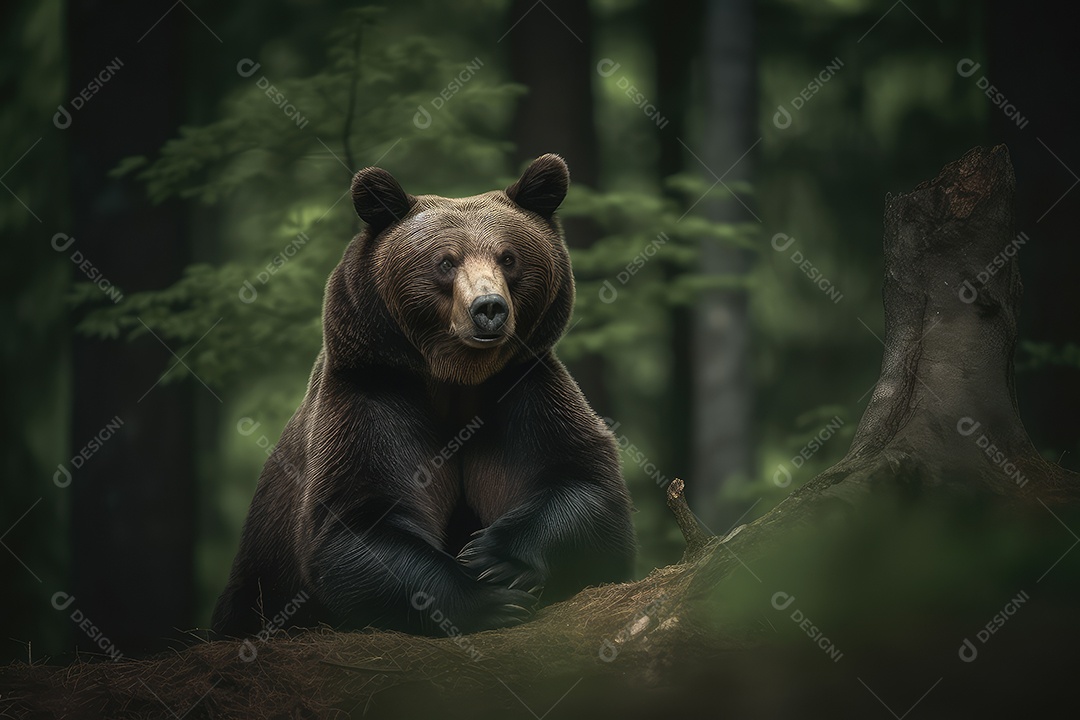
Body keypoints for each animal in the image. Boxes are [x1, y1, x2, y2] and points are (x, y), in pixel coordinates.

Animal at [212, 154, 636, 637]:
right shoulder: (374, 399)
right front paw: (487, 597)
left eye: (508, 257)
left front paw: (494, 557)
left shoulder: (523, 394)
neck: (457, 381)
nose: (489, 308)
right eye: (445, 262)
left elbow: (585, 485)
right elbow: (358, 523)